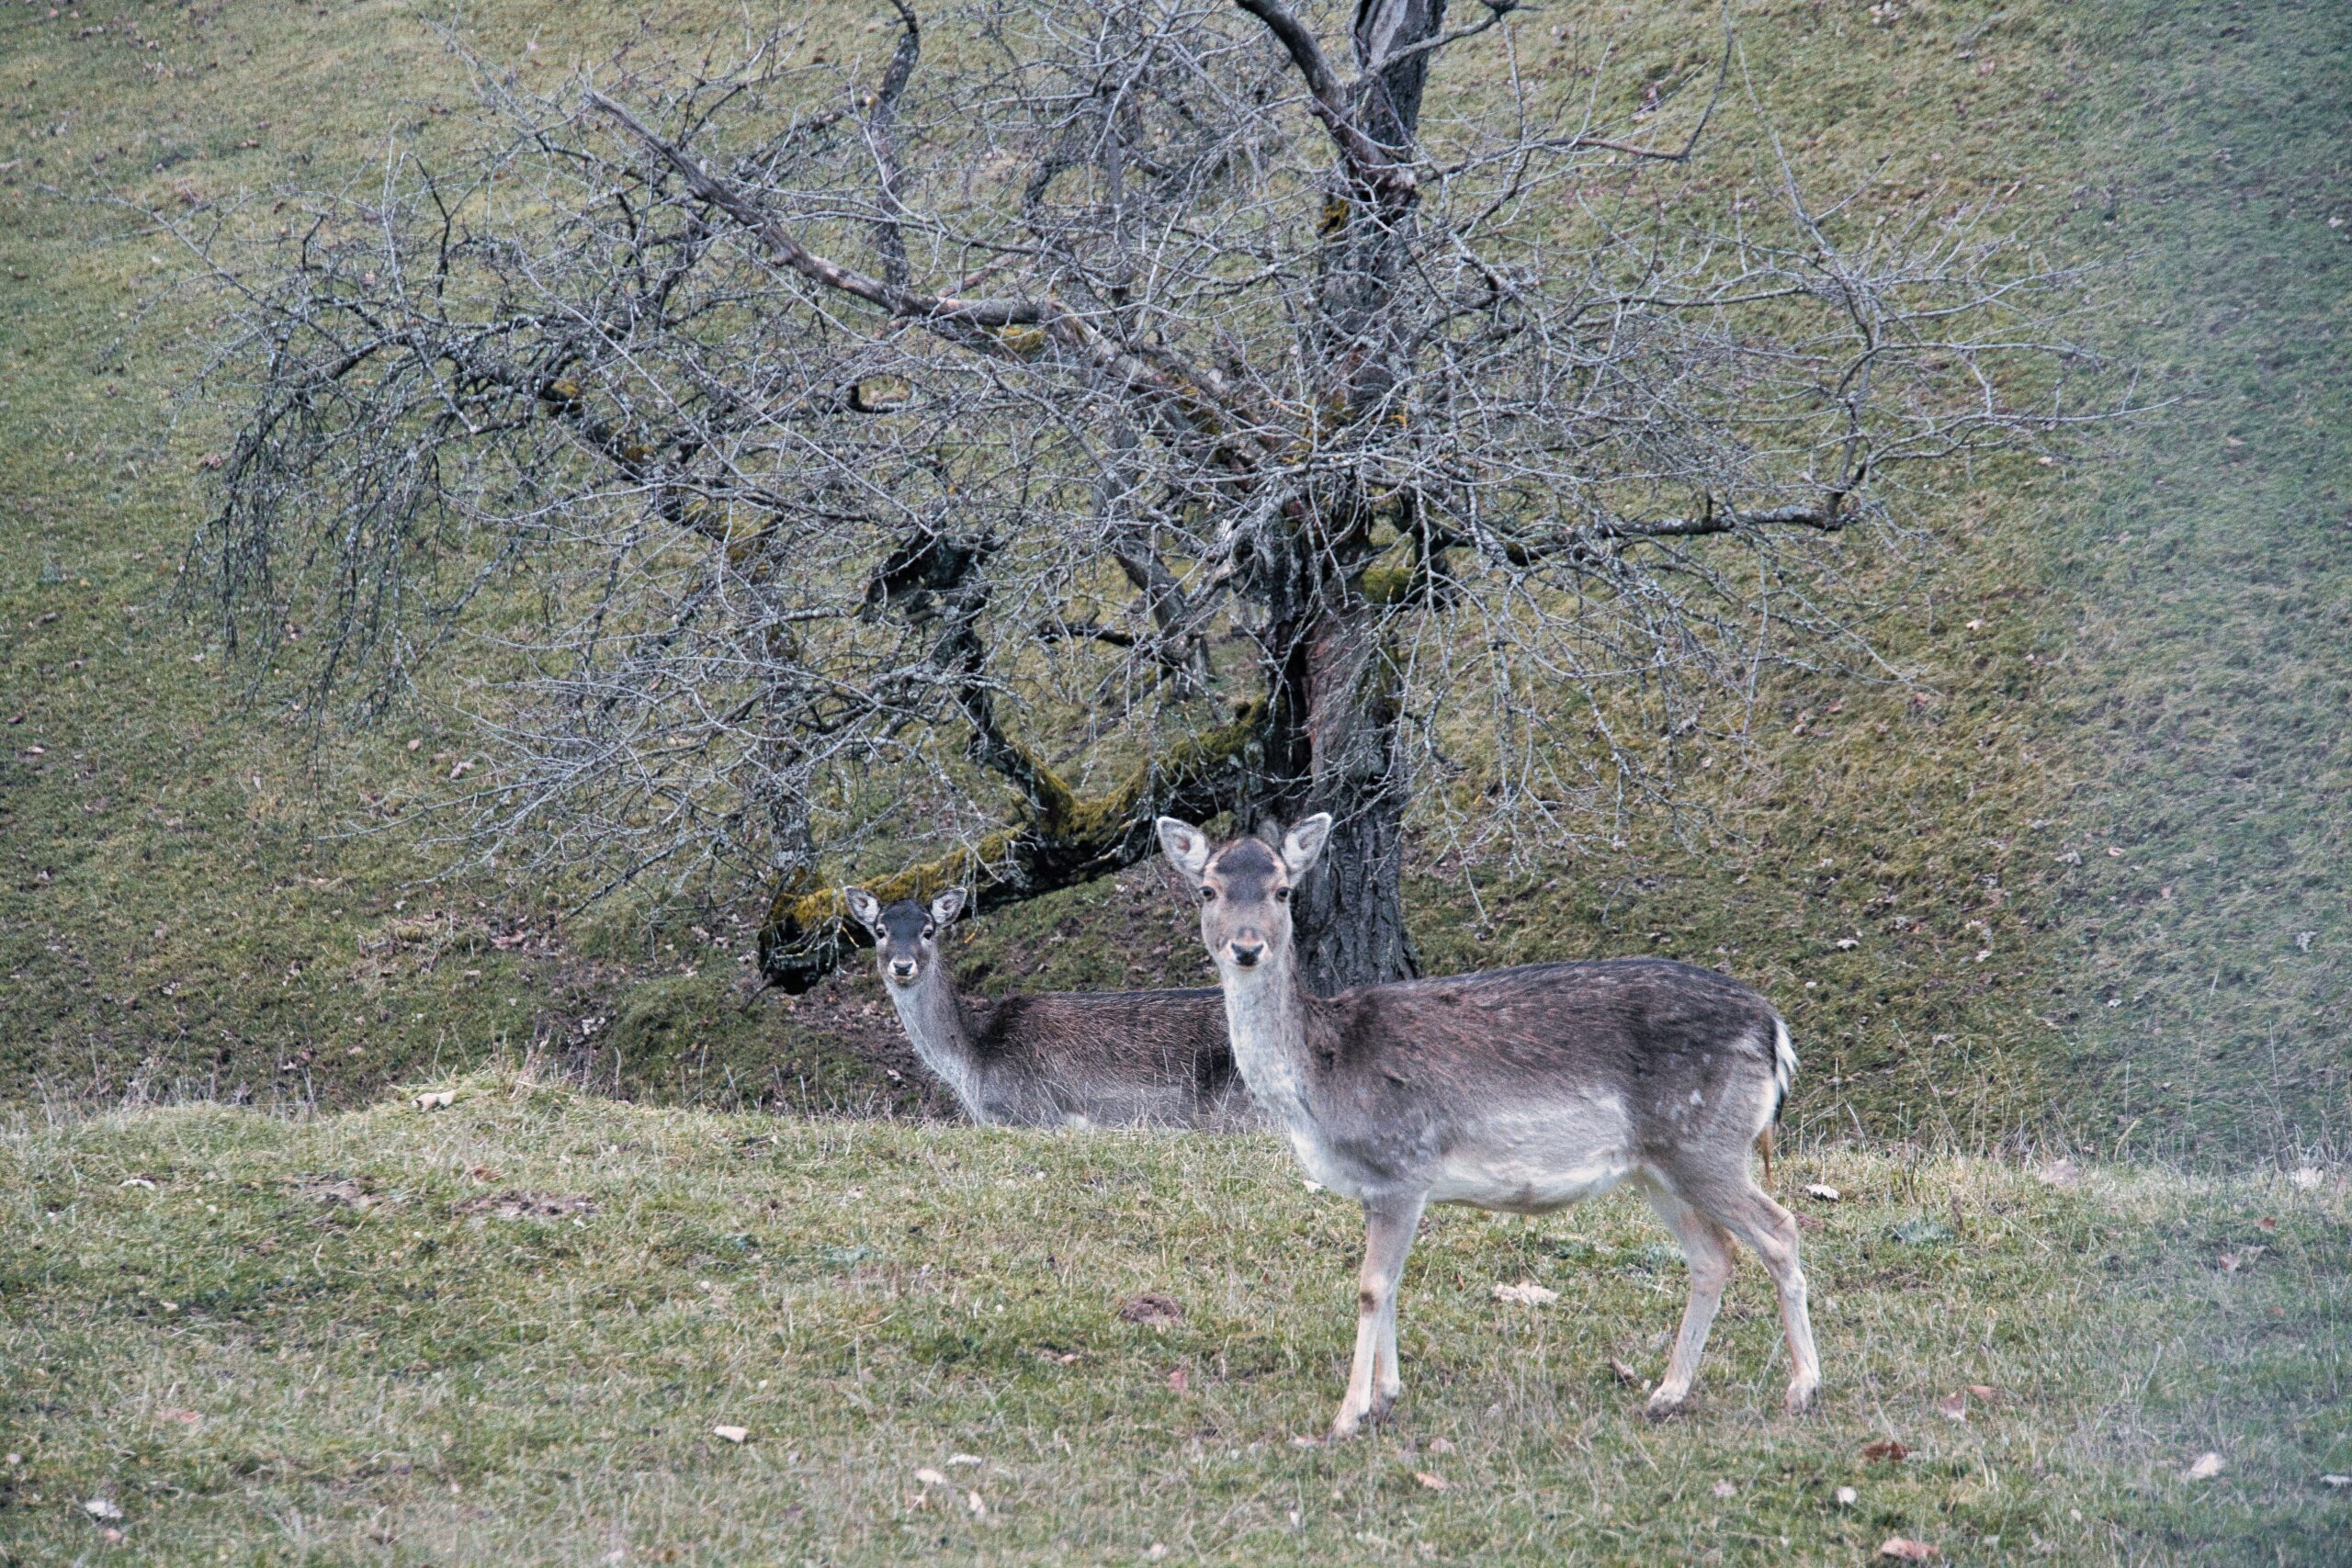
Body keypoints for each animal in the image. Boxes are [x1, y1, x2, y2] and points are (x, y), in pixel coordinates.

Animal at [1157, 818, 1815, 1438]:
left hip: (1705, 1143)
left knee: (1779, 1228)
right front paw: (1385, 1398)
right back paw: (1667, 1394)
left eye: (1283, 890)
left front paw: (1347, 1416)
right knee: (1713, 1254)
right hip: (1657, 1167)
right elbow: (1390, 1283)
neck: (1320, 1084)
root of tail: (1775, 1029)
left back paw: (1802, 1388)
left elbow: (1372, 1285)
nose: (1247, 947)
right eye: (1208, 889)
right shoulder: (1379, 1187)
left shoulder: (1403, 1163)